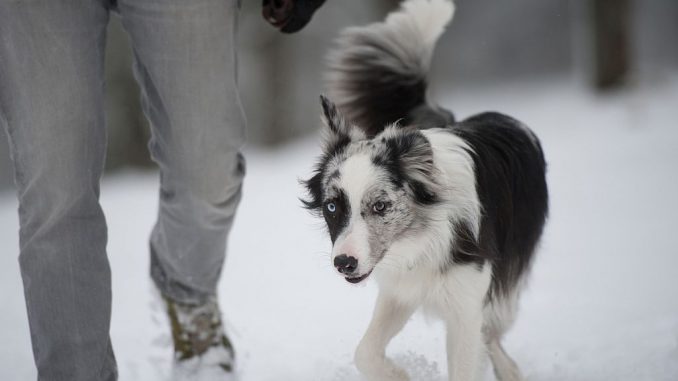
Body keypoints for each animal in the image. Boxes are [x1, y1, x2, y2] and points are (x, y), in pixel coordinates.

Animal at [306, 0, 548, 380]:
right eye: (332, 206)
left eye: (380, 206)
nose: (344, 263)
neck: (423, 235)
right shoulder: (400, 289)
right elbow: (364, 352)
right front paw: (398, 375)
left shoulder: (466, 301)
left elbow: (468, 358)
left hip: (509, 273)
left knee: (493, 327)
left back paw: (509, 369)